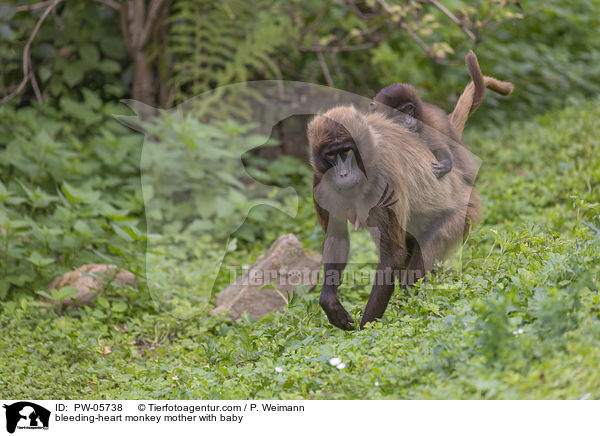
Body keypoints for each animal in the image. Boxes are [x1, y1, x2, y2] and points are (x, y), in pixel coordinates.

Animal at [308, 106, 480, 330]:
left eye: (346, 151)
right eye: (330, 154)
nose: (343, 174)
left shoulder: (383, 177)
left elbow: (393, 255)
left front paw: (366, 330)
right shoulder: (319, 178)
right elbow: (337, 237)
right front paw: (330, 304)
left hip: (461, 215)